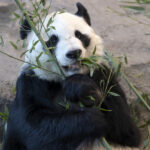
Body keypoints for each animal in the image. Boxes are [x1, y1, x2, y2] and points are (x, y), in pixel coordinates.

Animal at [2, 2, 141, 150]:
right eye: (53, 40)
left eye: (79, 35)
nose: (74, 53)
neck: (63, 79)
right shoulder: (32, 84)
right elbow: (32, 128)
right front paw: (91, 119)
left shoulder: (103, 75)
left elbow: (128, 131)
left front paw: (83, 89)